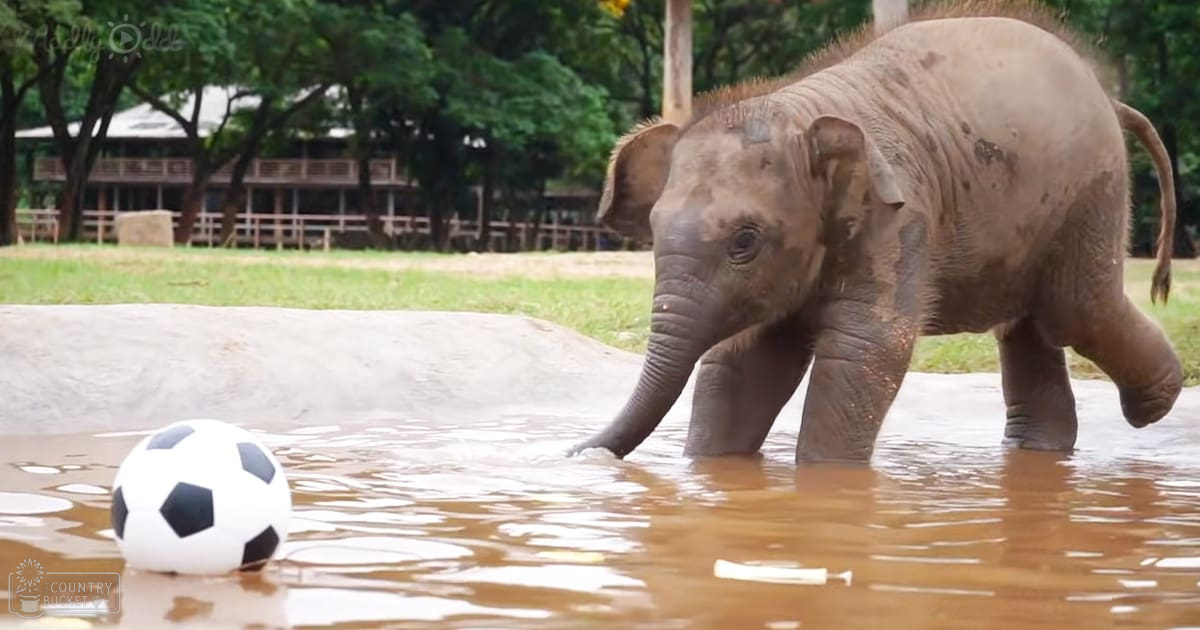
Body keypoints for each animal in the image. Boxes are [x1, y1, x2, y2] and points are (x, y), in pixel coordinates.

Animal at [569, 2, 1183, 465]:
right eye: (652, 230)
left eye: (744, 241)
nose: (580, 454)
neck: (803, 112)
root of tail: (1110, 98)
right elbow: (745, 359)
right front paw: (714, 468)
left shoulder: (900, 216)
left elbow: (863, 349)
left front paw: (826, 484)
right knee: (1030, 325)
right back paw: (1040, 452)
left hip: (1092, 191)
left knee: (1075, 311)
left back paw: (1153, 405)